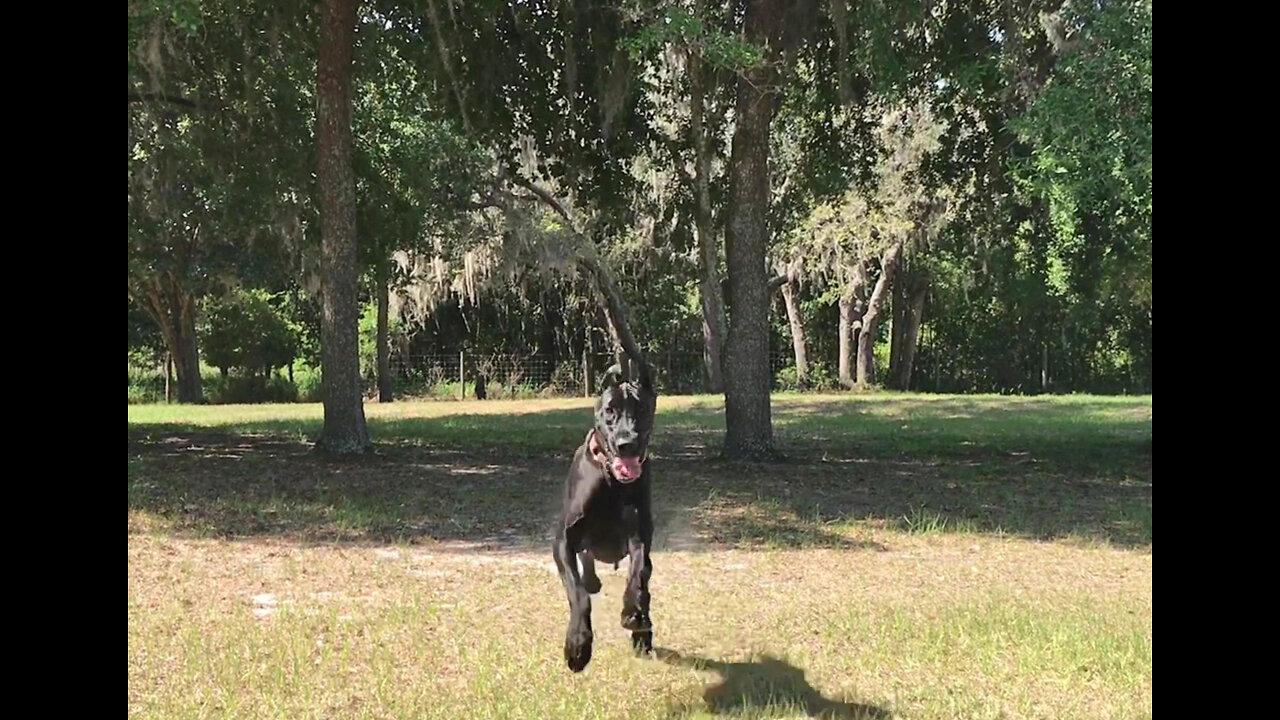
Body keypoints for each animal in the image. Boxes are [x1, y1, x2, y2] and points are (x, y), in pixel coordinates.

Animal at [555, 361, 660, 671]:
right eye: (610, 410)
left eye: (641, 409)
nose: (627, 443)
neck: (611, 480)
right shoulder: (564, 540)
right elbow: (578, 594)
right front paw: (578, 645)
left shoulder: (639, 536)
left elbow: (638, 572)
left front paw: (632, 613)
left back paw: (642, 630)